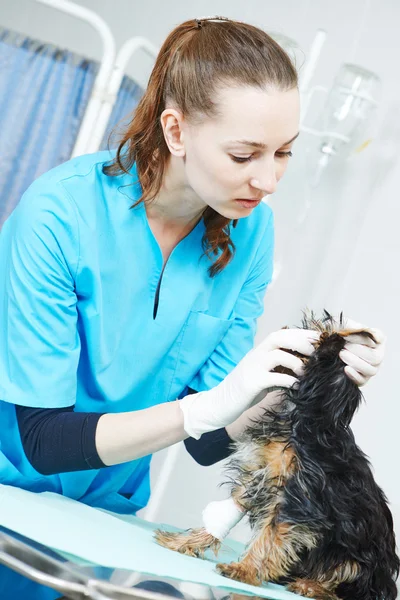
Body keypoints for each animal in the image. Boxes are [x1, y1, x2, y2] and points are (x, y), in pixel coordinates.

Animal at [156, 314, 400, 600]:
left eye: (309, 330)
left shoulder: (295, 499)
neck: (311, 415)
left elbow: (269, 536)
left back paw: (312, 585)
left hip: (357, 560)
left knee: (347, 583)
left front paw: (245, 570)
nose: (285, 328)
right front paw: (185, 542)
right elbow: (225, 515)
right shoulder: (259, 476)